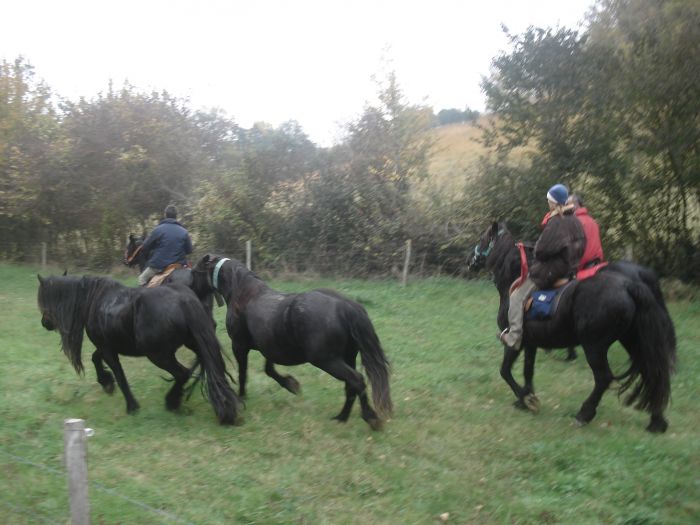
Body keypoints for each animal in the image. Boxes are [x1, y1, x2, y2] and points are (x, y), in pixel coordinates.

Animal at [38, 272, 241, 424]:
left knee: (182, 373)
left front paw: (130, 405)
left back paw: (172, 402)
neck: (96, 299)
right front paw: (107, 383)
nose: (44, 323)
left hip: (159, 356)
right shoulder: (107, 346)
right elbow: (96, 359)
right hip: (194, 343)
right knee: (205, 364)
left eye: (42, 299)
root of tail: (184, 300)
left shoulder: (107, 349)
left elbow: (120, 376)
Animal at [189, 254, 394, 430]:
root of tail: (345, 306)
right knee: (350, 386)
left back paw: (370, 418)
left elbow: (243, 373)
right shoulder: (269, 347)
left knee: (356, 381)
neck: (243, 292)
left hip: (327, 361)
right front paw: (291, 384)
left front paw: (241, 397)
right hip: (347, 357)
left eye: (195, 272)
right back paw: (341, 418)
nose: (190, 290)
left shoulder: (239, 346)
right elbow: (269, 370)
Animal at [468, 220, 676, 430]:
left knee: (604, 378)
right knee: (651, 371)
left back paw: (584, 414)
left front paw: (526, 399)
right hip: (632, 340)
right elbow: (528, 370)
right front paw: (526, 398)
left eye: (484, 239)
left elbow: (505, 371)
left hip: (594, 346)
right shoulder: (531, 343)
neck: (514, 280)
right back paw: (657, 420)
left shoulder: (514, 340)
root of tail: (628, 285)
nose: (470, 261)